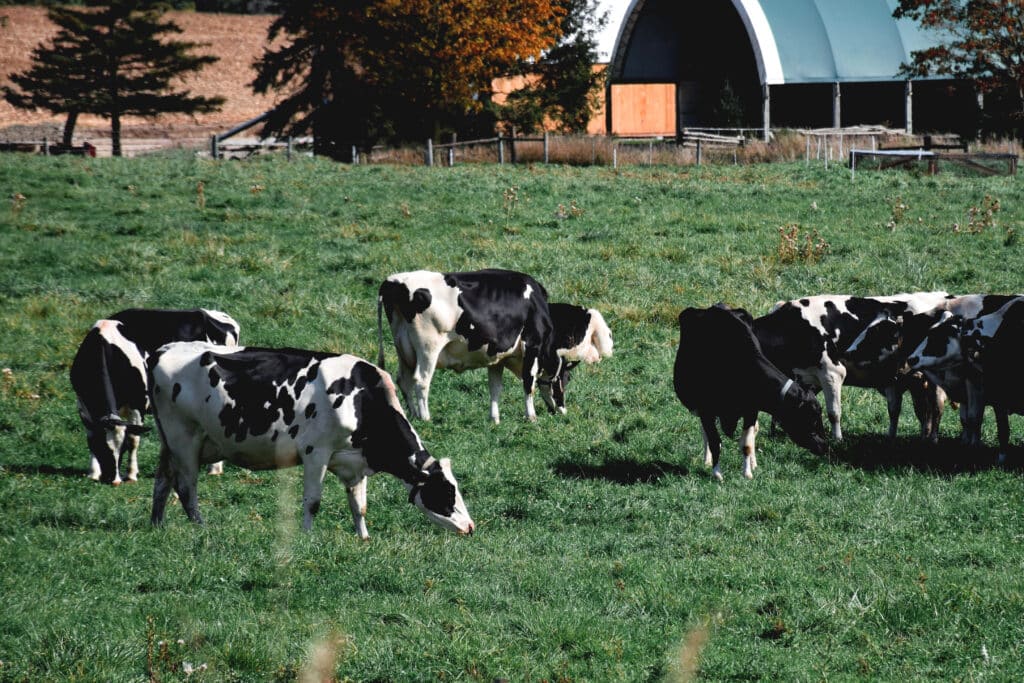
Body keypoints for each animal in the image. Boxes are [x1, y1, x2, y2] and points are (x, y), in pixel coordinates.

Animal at [70, 307, 241, 483]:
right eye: (102, 447)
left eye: (123, 448)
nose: (115, 480)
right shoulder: (83, 402)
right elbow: (90, 434)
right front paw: (93, 473)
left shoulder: (137, 401)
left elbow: (134, 438)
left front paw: (131, 475)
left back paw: (214, 469)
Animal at [149, 344, 475, 536]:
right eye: (447, 493)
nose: (470, 527)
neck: (361, 398)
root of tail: (163, 349)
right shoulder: (315, 452)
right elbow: (313, 502)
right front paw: (307, 538)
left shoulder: (355, 461)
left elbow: (359, 505)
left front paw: (364, 538)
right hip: (184, 440)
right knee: (186, 488)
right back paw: (201, 529)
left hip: (169, 444)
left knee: (162, 482)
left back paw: (157, 526)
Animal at [378, 268, 569, 421]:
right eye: (565, 378)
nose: (562, 410)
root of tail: (395, 281)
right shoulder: (532, 345)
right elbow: (529, 383)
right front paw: (531, 417)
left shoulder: (496, 356)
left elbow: (495, 387)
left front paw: (494, 419)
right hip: (428, 347)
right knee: (421, 381)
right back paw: (425, 418)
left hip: (403, 349)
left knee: (404, 381)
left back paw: (411, 415)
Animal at [671, 305, 831, 481]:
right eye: (811, 418)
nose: (825, 446)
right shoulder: (706, 409)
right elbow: (714, 441)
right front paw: (717, 473)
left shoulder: (751, 410)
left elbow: (746, 443)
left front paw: (747, 473)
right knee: (705, 433)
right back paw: (707, 461)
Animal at [749, 290, 946, 444]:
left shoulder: (832, 372)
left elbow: (834, 412)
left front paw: (837, 439)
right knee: (920, 409)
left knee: (935, 407)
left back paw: (932, 439)